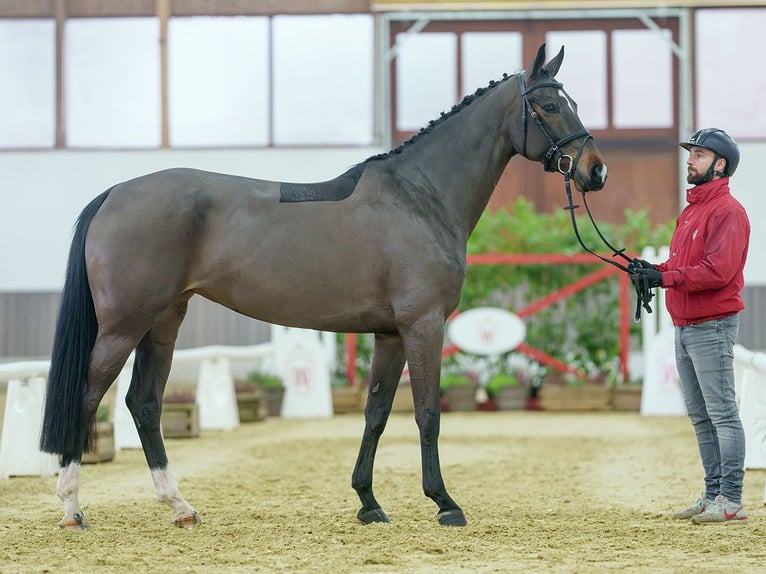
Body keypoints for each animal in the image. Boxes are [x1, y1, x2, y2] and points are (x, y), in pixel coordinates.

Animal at [40, 44, 608, 532]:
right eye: (551, 105)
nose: (595, 171)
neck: (419, 197)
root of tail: (114, 193)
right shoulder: (423, 325)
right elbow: (427, 412)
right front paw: (444, 503)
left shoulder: (390, 334)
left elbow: (377, 413)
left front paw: (368, 503)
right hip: (125, 325)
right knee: (88, 395)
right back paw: (72, 508)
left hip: (164, 320)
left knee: (145, 402)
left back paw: (179, 506)